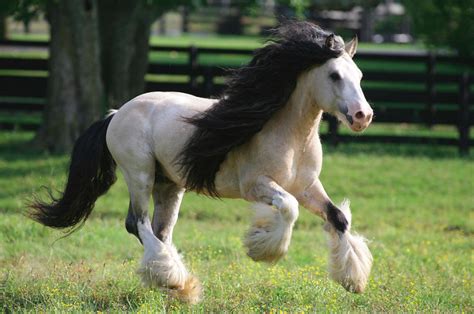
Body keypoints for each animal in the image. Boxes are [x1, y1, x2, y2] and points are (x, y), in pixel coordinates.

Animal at [31, 22, 376, 304]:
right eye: (334, 75)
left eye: (360, 76)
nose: (363, 116)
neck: (289, 136)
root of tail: (116, 114)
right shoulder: (257, 186)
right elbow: (289, 209)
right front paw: (261, 249)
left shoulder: (307, 187)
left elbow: (338, 217)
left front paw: (353, 281)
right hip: (139, 174)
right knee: (137, 223)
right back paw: (174, 279)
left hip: (169, 186)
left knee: (160, 231)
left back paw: (180, 287)